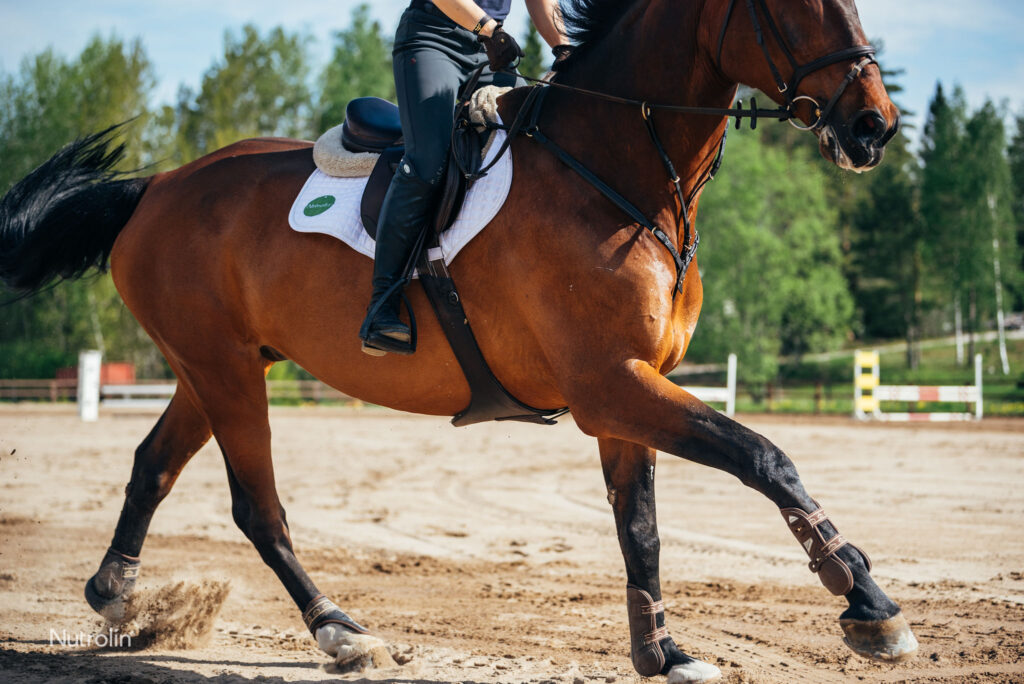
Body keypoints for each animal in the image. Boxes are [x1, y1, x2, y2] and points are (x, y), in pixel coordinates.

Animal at [0, 0, 913, 679]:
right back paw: (339, 630)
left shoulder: (629, 387)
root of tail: (157, 186)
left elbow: (642, 527)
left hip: (212, 366)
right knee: (258, 507)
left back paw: (116, 595)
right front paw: (866, 604)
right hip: (225, 372)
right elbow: (765, 457)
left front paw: (662, 650)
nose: (875, 127)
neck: (615, 171)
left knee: (152, 464)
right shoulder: (609, 385)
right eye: (792, 5)